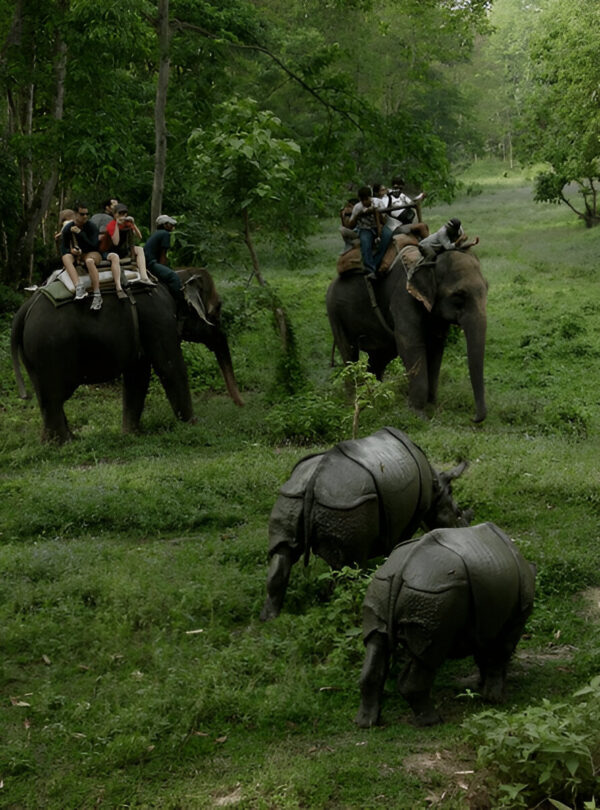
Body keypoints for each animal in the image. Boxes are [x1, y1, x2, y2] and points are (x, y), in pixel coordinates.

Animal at [11, 267, 244, 442]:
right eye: (218, 307)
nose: (241, 405)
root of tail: (25, 309)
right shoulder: (159, 319)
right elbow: (170, 366)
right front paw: (193, 424)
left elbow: (138, 374)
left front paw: (132, 434)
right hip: (50, 348)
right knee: (54, 394)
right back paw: (63, 443)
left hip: (34, 354)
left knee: (46, 395)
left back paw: (60, 440)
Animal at [259, 426, 471, 621]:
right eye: (458, 514)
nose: (462, 530)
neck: (436, 489)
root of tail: (314, 479)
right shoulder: (413, 516)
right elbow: (397, 544)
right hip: (348, 504)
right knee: (347, 565)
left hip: (293, 494)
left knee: (284, 552)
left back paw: (271, 620)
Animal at [326, 249, 488, 422]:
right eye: (459, 296)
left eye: (487, 289)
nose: (473, 418)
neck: (430, 262)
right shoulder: (404, 297)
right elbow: (411, 346)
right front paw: (419, 416)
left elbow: (435, 347)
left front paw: (431, 409)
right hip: (334, 312)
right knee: (349, 354)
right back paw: (353, 403)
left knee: (379, 358)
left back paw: (373, 401)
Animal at [355, 522, 536, 727]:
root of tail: (403, 568)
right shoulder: (514, 619)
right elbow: (500, 654)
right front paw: (496, 700)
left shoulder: (483, 622)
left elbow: (483, 655)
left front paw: (482, 687)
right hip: (435, 594)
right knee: (430, 654)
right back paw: (432, 721)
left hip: (383, 585)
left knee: (377, 641)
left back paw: (366, 723)